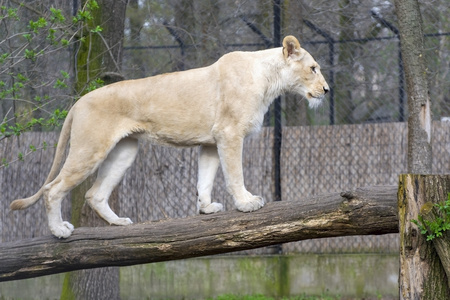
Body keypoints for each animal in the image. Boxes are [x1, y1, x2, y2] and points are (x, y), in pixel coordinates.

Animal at [10, 35, 326, 238]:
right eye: (313, 68)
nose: (327, 90)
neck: (270, 81)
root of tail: (78, 102)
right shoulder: (229, 134)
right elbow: (234, 174)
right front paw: (246, 202)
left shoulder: (211, 141)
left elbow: (205, 178)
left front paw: (206, 208)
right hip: (90, 148)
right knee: (53, 189)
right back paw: (59, 231)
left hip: (125, 151)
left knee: (94, 194)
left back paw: (120, 223)